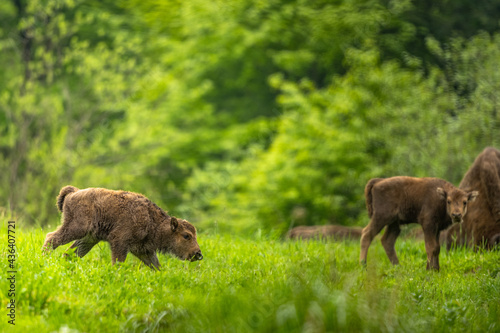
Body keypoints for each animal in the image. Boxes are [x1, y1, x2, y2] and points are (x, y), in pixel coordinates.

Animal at [42, 185, 203, 268]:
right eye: (186, 235)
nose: (198, 254)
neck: (152, 219)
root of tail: (74, 192)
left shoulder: (144, 250)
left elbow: (156, 266)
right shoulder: (119, 242)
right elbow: (118, 262)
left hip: (89, 239)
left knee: (70, 253)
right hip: (76, 228)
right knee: (52, 237)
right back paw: (44, 257)